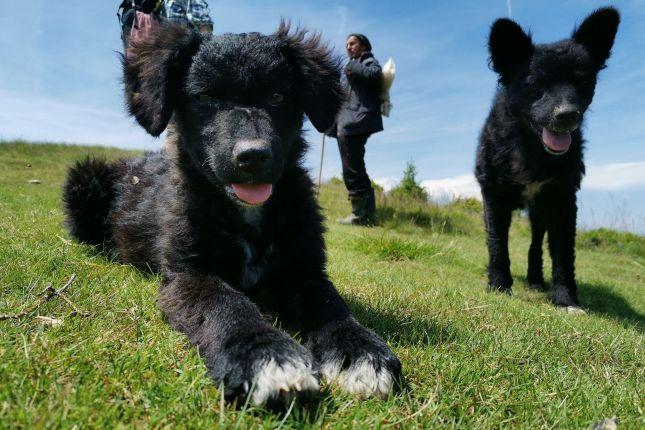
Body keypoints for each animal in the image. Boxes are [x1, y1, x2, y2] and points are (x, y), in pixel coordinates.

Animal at [63, 22, 400, 406]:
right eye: (204, 98)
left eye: (277, 97)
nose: (253, 156)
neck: (246, 217)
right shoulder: (189, 274)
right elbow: (226, 305)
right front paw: (266, 354)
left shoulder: (306, 271)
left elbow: (331, 306)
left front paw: (360, 351)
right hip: (84, 179)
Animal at [472, 7, 620, 310]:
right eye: (534, 84)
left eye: (582, 82)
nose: (567, 115)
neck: (531, 147)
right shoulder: (493, 194)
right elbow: (497, 242)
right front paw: (499, 285)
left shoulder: (562, 198)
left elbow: (563, 252)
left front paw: (565, 299)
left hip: (539, 212)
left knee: (536, 244)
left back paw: (536, 279)